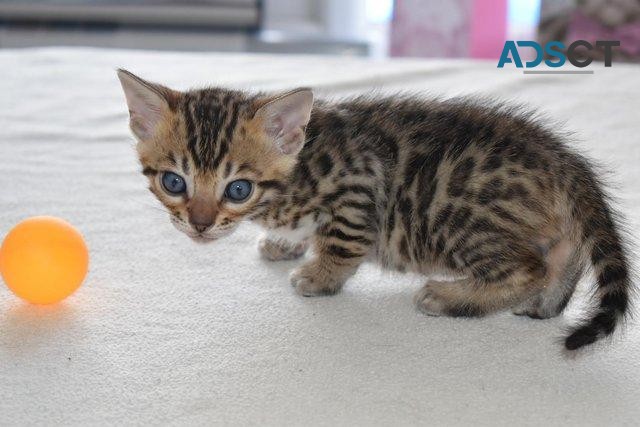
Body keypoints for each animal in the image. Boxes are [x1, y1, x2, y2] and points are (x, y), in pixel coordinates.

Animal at [117, 69, 632, 352]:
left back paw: (451, 297)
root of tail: (563, 160)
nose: (200, 225)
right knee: (563, 255)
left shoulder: (357, 185)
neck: (299, 164)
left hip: (453, 214)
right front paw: (285, 243)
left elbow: (342, 244)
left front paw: (319, 276)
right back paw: (544, 303)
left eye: (238, 188)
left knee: (528, 266)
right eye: (174, 182)